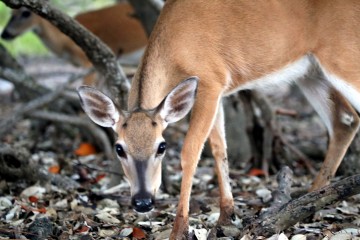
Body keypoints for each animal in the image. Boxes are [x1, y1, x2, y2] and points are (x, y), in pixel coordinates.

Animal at [77, 0, 360, 238]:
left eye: (162, 146)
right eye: (119, 148)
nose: (143, 201)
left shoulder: (210, 80)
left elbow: (191, 151)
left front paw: (179, 229)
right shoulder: (218, 91)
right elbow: (219, 148)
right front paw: (226, 216)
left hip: (344, 55)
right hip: (310, 72)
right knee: (345, 120)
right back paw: (310, 199)